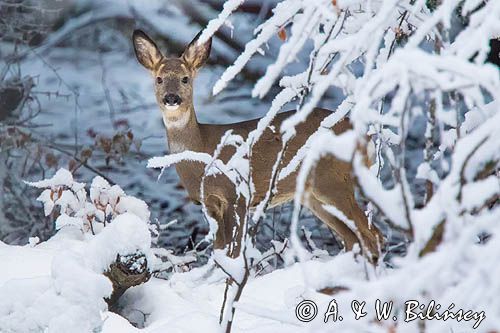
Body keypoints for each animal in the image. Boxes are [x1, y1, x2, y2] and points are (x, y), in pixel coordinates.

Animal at [133, 29, 382, 258]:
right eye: (159, 79)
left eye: (185, 78)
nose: (171, 98)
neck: (202, 151)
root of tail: (365, 136)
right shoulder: (209, 203)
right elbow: (220, 252)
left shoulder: (238, 195)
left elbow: (233, 252)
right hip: (315, 195)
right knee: (354, 239)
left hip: (334, 181)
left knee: (374, 236)